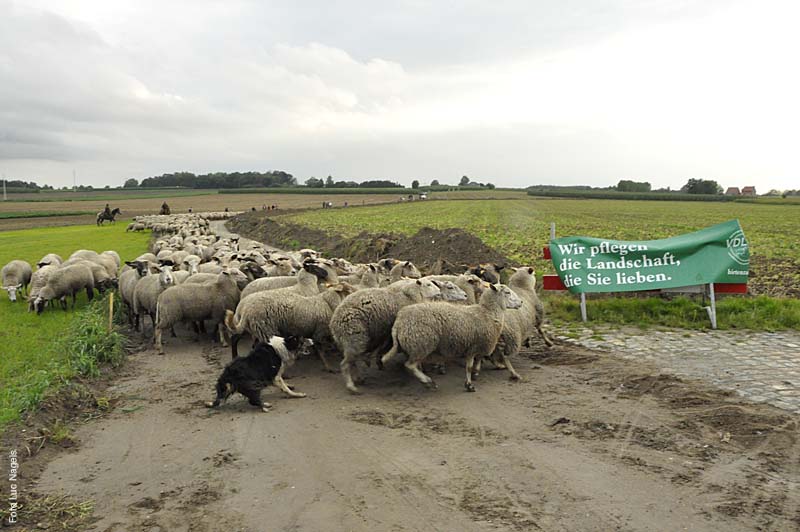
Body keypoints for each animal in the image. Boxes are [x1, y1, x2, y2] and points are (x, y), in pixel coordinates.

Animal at [382, 284, 524, 392]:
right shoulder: (474, 346)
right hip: (422, 344)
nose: (521, 302)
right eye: (507, 292)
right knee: (409, 365)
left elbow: (476, 361)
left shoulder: (475, 345)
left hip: (416, 345)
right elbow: (469, 366)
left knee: (412, 365)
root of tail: (399, 322)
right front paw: (469, 384)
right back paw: (428, 381)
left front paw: (474, 376)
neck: (488, 312)